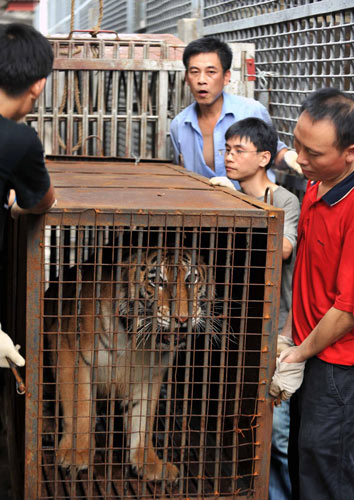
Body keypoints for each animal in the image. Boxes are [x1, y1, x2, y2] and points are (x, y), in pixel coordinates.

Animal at [46, 248, 213, 482]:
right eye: (158, 282)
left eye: (191, 280)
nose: (182, 319)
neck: (137, 341)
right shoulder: (69, 351)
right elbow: (79, 408)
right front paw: (75, 454)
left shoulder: (149, 376)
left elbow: (142, 422)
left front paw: (149, 463)